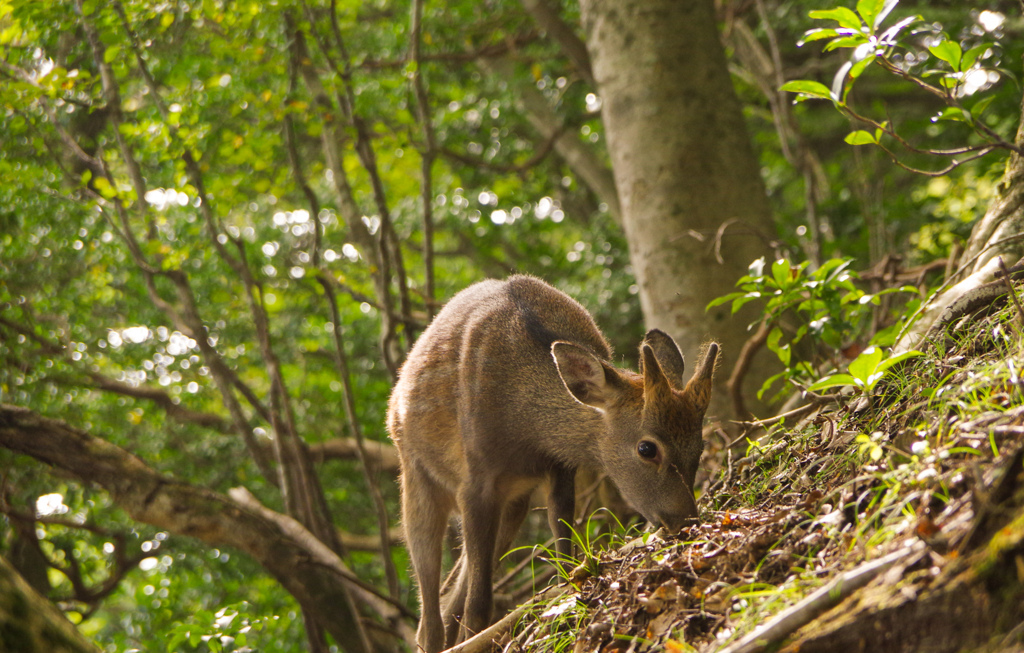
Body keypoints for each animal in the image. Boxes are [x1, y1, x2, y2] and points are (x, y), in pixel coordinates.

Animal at [385, 276, 720, 653]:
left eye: (699, 445)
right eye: (647, 448)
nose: (685, 520)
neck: (529, 431)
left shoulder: (560, 468)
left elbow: (565, 553)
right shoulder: (476, 479)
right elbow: (479, 603)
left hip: (513, 503)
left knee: (452, 590)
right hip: (416, 473)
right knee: (429, 609)